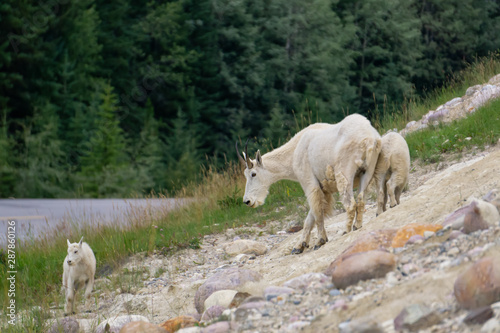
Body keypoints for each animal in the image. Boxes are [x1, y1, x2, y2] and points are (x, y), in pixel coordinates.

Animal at [236, 113, 380, 253]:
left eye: (253, 174)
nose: (247, 201)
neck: (294, 151)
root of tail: (368, 138)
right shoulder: (324, 189)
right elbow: (310, 218)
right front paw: (299, 246)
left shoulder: (309, 183)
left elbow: (317, 212)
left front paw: (320, 241)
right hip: (368, 170)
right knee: (361, 199)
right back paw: (357, 225)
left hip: (344, 172)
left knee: (350, 204)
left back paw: (346, 230)